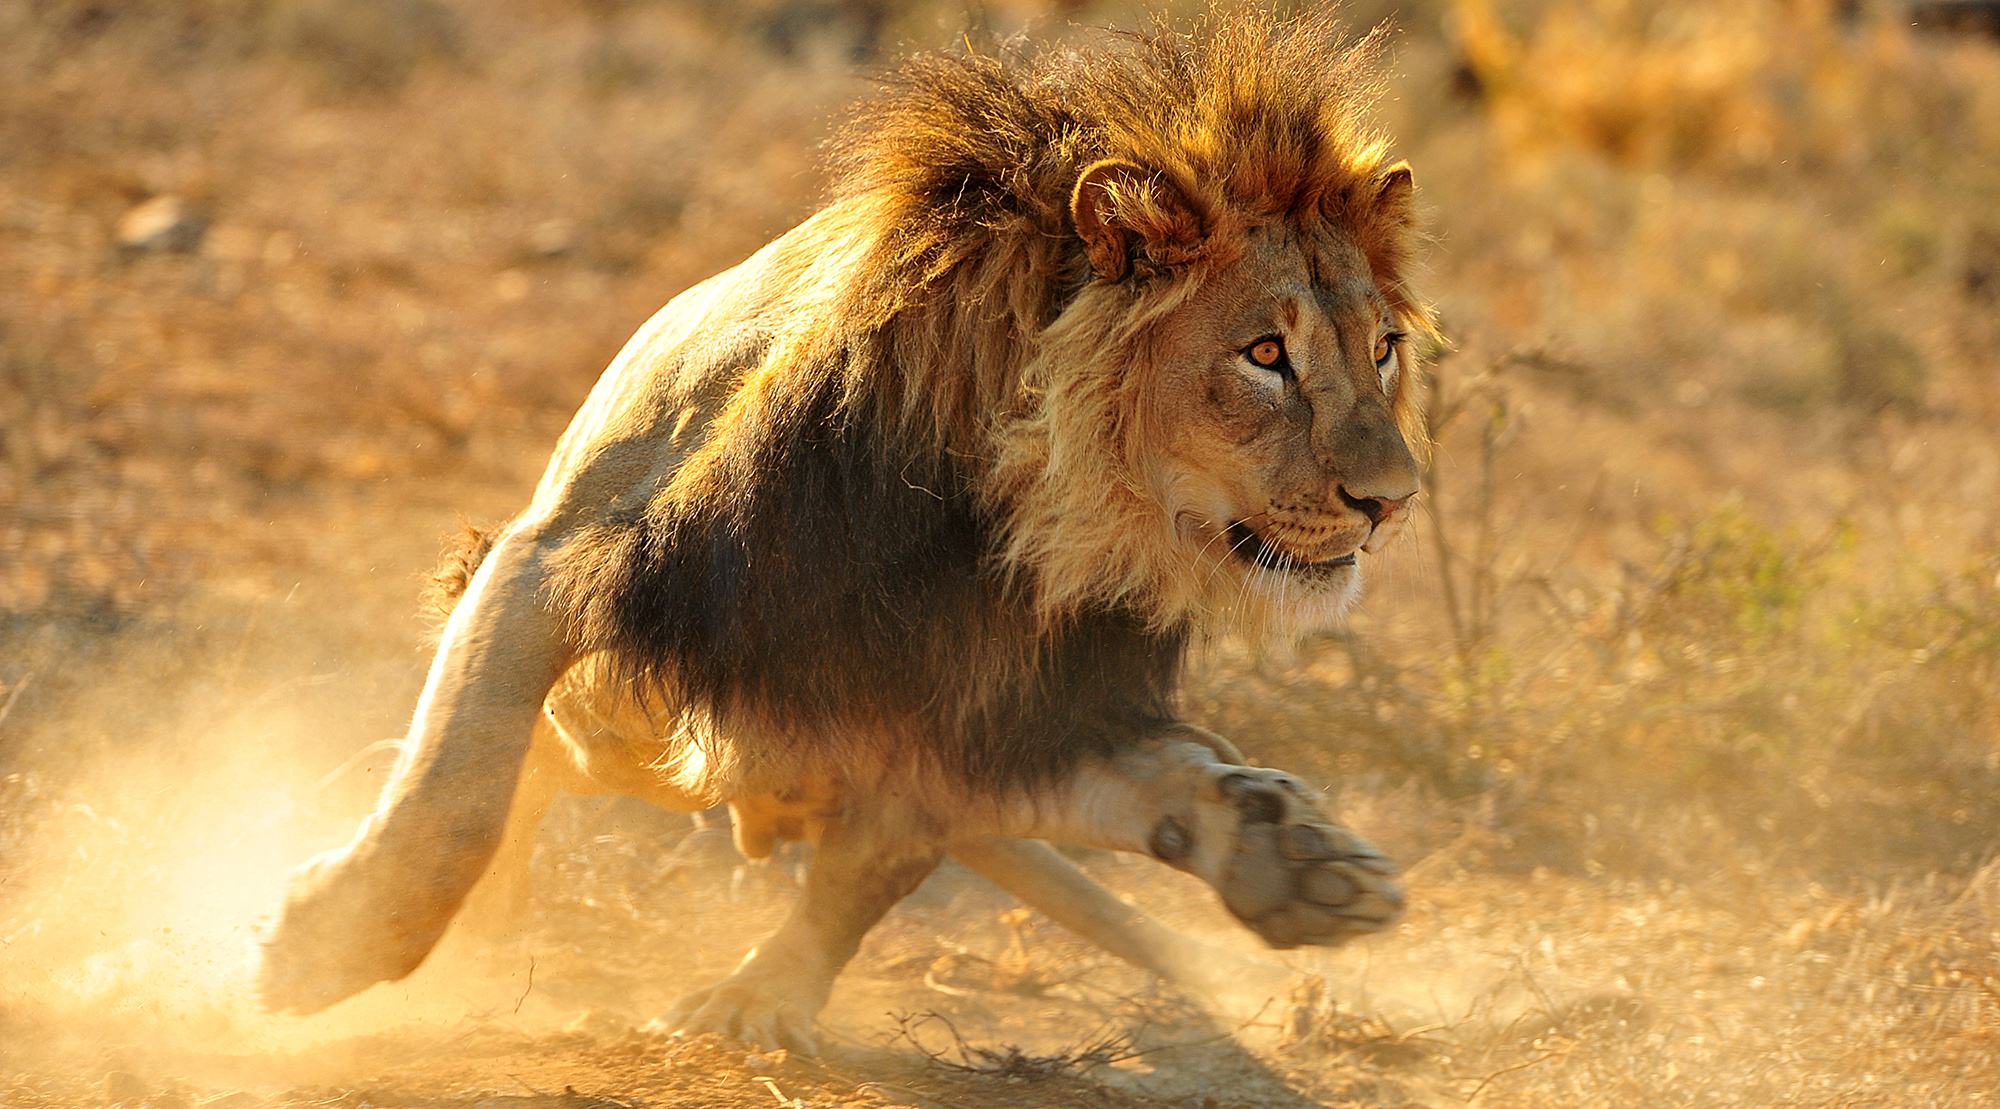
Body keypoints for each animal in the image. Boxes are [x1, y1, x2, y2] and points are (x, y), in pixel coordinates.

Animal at [260, 11, 1432, 1053]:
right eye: (1265, 354)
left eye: (1379, 348)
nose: (1393, 498)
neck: (1005, 523)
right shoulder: (561, 557)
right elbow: (459, 778)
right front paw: (331, 942)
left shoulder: (973, 704)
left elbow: (870, 875)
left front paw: (758, 1000)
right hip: (634, 722)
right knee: (533, 755)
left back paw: (1294, 862)